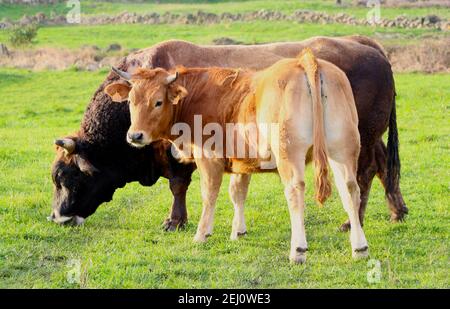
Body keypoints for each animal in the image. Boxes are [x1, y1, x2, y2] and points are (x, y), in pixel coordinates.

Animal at [104, 48, 370, 262]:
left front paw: (202, 234)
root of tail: (305, 60)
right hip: (343, 150)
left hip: (290, 155)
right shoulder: (242, 161)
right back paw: (360, 248)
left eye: (158, 102)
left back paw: (298, 250)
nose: (135, 135)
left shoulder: (208, 158)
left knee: (295, 191)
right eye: (130, 101)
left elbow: (209, 195)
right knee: (350, 189)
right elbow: (237, 193)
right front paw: (238, 231)